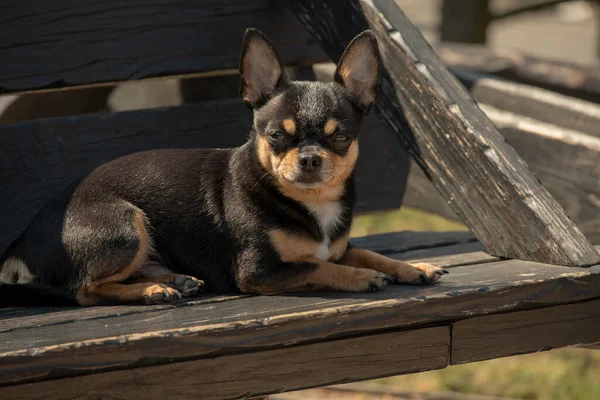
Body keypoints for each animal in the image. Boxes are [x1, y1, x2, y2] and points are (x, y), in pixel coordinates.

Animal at [0, 29, 446, 308]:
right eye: (276, 136)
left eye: (340, 138)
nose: (309, 158)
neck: (311, 203)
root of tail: (21, 241)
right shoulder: (259, 271)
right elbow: (319, 265)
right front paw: (360, 277)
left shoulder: (340, 246)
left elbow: (365, 251)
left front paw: (413, 267)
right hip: (125, 223)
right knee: (85, 290)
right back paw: (152, 290)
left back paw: (172, 281)